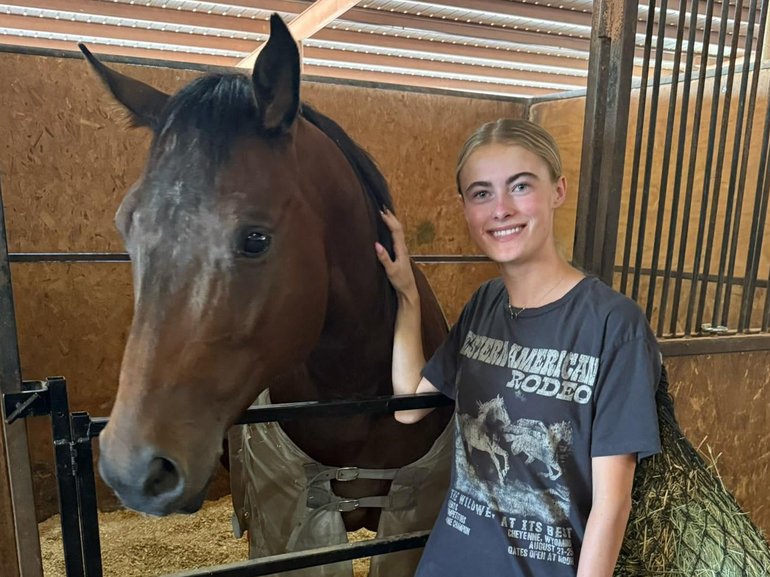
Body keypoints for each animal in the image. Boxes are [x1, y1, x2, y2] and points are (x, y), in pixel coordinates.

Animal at [79, 13, 453, 575]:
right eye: (128, 226)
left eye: (255, 238)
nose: (132, 468)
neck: (358, 393)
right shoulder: (292, 532)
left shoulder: (410, 526)